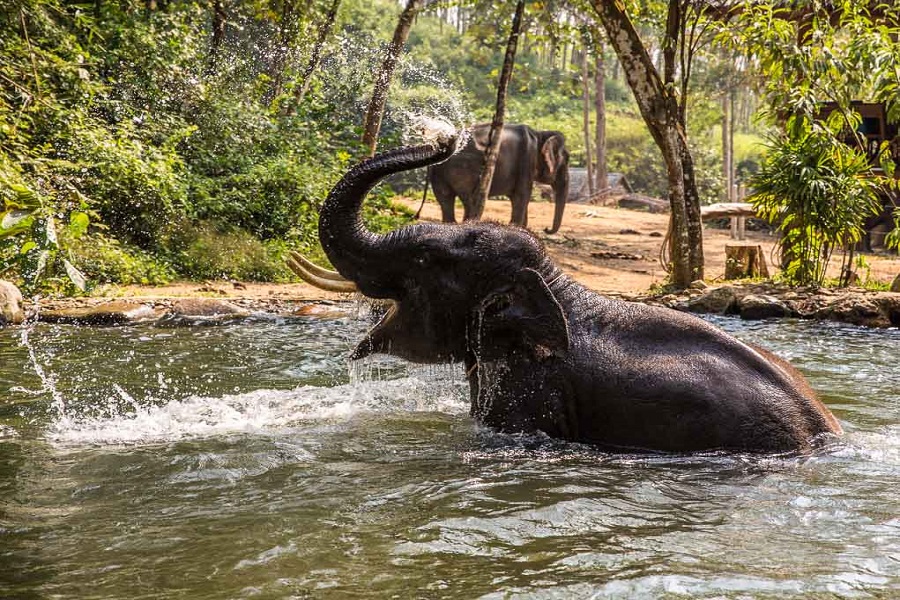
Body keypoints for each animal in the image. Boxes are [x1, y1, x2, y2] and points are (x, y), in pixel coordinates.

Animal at [424, 123, 569, 234]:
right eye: (567, 160)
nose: (546, 229)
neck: (540, 134)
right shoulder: (527, 161)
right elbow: (521, 197)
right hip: (465, 168)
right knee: (471, 201)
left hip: (439, 170)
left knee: (445, 200)